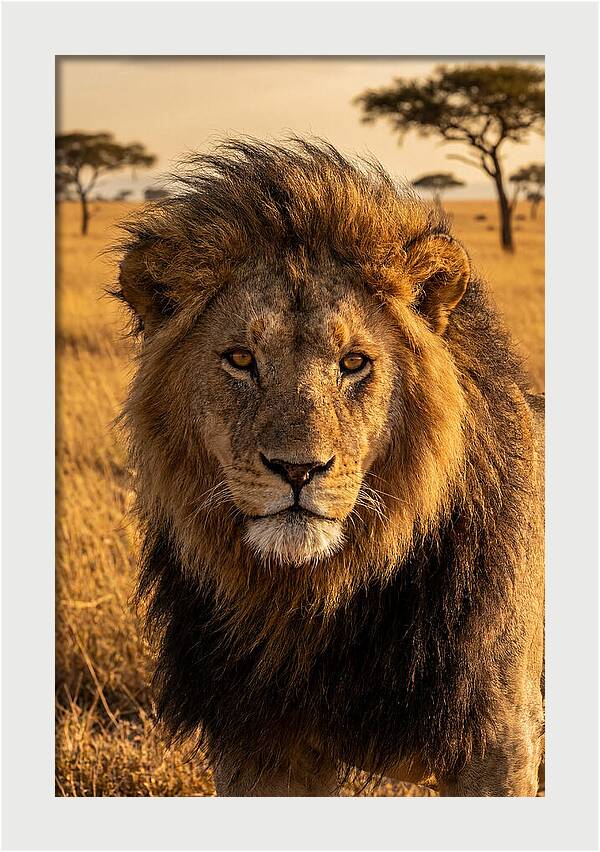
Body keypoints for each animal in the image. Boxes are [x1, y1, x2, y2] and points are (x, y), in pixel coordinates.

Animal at [115, 138, 544, 796]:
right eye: (241, 359)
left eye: (354, 362)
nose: (297, 470)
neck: (314, 602)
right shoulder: (258, 747)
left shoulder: (499, 740)